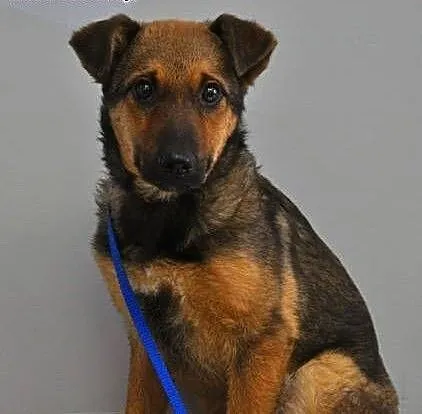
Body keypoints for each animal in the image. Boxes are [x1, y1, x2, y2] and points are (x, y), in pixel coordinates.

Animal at [69, 13, 398, 413]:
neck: (167, 216)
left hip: (316, 373)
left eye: (211, 93)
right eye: (143, 89)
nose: (178, 164)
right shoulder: (146, 344)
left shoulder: (263, 339)